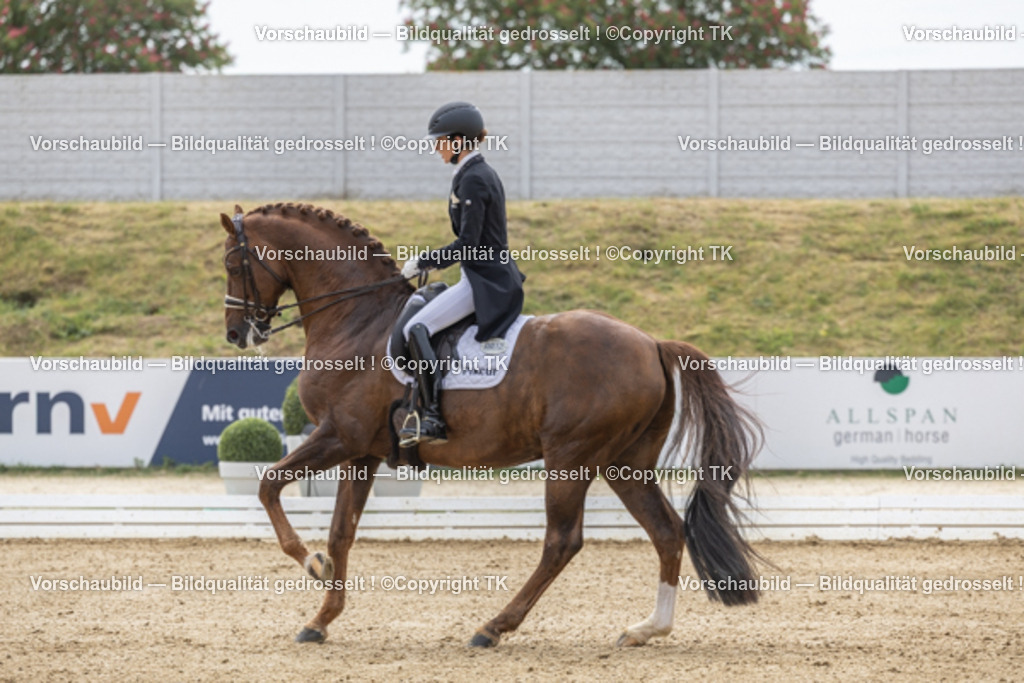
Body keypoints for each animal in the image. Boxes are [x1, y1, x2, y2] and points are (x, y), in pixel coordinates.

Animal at [220, 202, 763, 647]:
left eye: (231, 264)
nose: (236, 334)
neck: (357, 319)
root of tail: (651, 343)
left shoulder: (338, 436)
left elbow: (269, 486)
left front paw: (310, 563)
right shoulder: (363, 452)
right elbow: (340, 533)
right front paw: (321, 618)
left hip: (572, 457)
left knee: (562, 541)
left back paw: (493, 627)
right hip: (624, 463)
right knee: (667, 531)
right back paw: (647, 628)